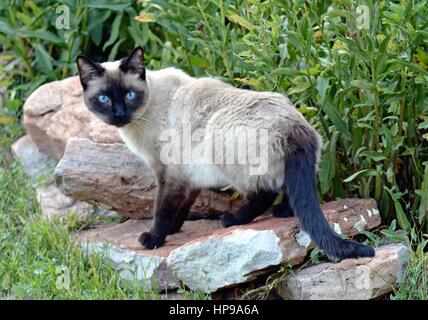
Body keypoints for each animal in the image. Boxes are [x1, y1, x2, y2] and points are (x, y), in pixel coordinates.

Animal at [76, 47, 374, 260]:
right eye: (103, 99)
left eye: (129, 95)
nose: (118, 114)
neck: (142, 117)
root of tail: (294, 127)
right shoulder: (189, 174)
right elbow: (183, 206)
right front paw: (174, 228)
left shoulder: (169, 173)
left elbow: (162, 209)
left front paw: (154, 238)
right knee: (293, 191)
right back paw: (282, 212)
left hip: (219, 141)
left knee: (263, 194)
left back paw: (232, 219)